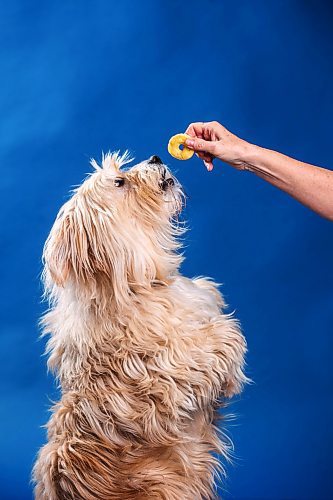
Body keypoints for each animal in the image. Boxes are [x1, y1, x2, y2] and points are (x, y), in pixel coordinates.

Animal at [33, 153, 246, 500]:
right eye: (120, 182)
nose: (156, 156)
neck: (138, 286)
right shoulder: (165, 378)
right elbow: (219, 343)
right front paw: (228, 351)